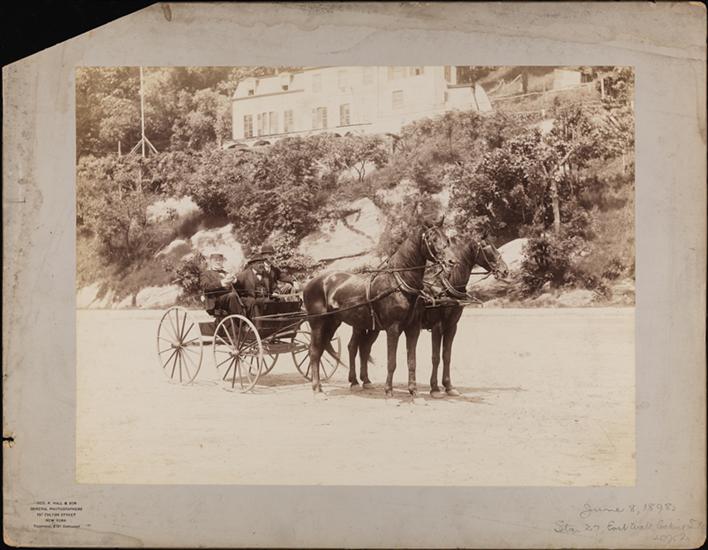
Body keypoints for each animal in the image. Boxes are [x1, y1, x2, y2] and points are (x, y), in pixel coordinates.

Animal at [302, 213, 456, 396]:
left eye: (447, 238)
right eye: (432, 239)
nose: (451, 261)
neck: (398, 283)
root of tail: (312, 283)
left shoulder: (413, 328)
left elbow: (412, 361)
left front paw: (413, 391)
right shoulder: (393, 328)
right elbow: (392, 362)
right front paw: (388, 390)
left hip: (333, 323)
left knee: (333, 349)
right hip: (318, 323)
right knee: (314, 352)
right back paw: (317, 388)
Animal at [423, 236, 509, 397]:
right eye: (487, 247)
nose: (505, 270)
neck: (446, 286)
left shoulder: (451, 326)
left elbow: (446, 355)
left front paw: (448, 386)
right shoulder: (437, 326)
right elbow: (435, 357)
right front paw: (435, 388)